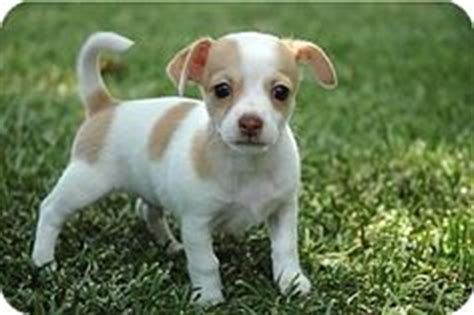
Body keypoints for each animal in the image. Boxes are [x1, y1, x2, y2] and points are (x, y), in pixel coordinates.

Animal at [31, 32, 336, 306]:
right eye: (222, 90)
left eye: (281, 92)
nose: (251, 122)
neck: (247, 164)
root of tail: (106, 106)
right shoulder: (197, 224)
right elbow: (205, 262)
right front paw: (209, 299)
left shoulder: (283, 209)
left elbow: (285, 248)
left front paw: (292, 282)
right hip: (86, 182)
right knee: (51, 209)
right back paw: (43, 262)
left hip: (149, 187)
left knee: (147, 211)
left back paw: (170, 246)